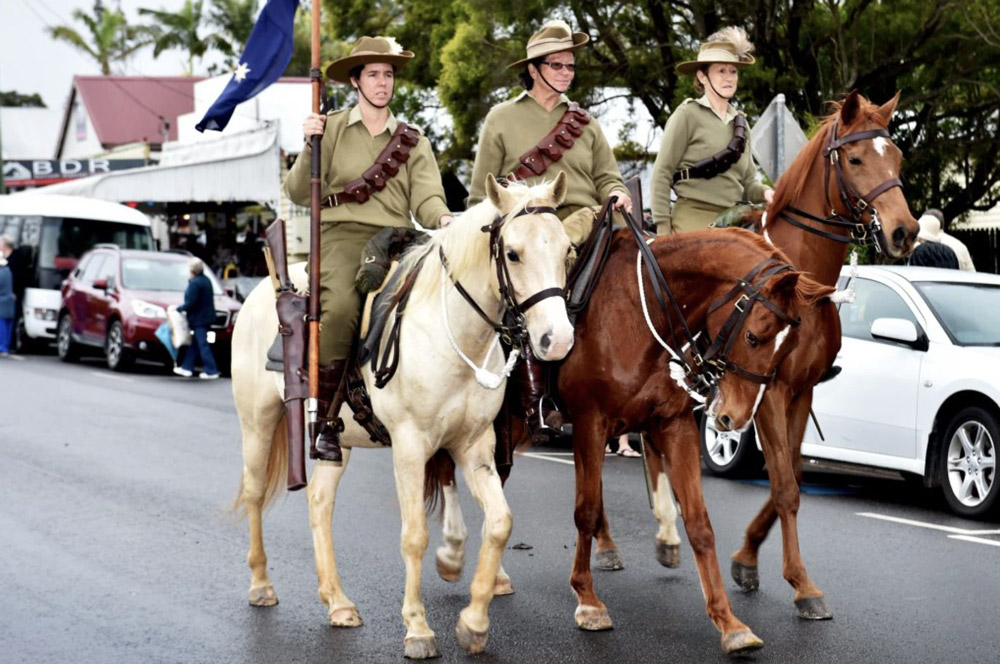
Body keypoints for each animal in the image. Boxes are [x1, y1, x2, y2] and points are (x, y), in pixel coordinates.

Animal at [229, 175, 572, 660]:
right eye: (513, 253)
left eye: (567, 251)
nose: (556, 340)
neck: (453, 333)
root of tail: (263, 289)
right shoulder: (411, 447)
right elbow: (414, 536)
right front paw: (418, 629)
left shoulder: (475, 447)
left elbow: (500, 523)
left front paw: (473, 622)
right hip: (257, 421)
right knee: (256, 492)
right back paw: (261, 584)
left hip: (337, 441)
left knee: (319, 502)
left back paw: (337, 601)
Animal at [564, 226, 836, 652]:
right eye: (754, 337)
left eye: (788, 348)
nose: (733, 418)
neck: (639, 308)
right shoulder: (590, 421)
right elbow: (585, 511)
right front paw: (587, 599)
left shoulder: (676, 423)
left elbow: (705, 521)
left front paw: (732, 622)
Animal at [640, 88, 920, 616]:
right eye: (855, 158)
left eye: (896, 156)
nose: (904, 232)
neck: (800, 281)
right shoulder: (767, 392)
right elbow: (786, 486)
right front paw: (802, 584)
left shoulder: (801, 393)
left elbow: (788, 477)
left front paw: (747, 558)